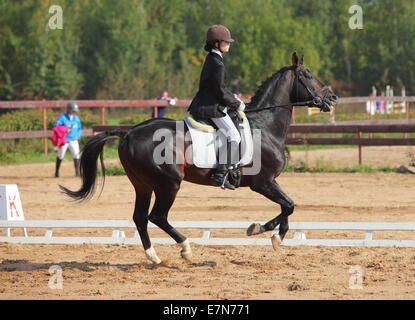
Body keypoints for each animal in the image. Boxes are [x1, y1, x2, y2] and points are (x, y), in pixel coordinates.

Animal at [61, 53, 338, 264]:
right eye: (307, 75)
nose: (332, 98)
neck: (265, 125)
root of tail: (129, 132)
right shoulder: (263, 182)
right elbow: (289, 205)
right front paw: (264, 231)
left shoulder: (269, 182)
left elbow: (287, 207)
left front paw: (272, 235)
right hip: (169, 183)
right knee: (157, 216)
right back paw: (185, 248)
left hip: (143, 184)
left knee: (140, 217)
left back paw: (154, 256)